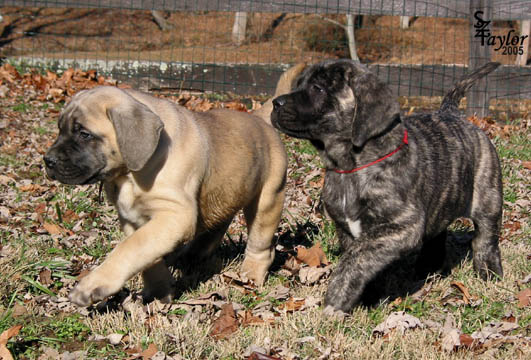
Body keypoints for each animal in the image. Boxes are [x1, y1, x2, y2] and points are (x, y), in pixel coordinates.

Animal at [272, 60, 504, 314]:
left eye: (317, 88)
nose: (275, 103)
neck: (351, 167)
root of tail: (451, 113)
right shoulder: (346, 230)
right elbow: (362, 261)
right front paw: (369, 298)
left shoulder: (403, 225)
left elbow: (354, 258)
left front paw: (336, 299)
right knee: (437, 232)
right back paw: (428, 269)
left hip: (488, 199)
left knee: (485, 239)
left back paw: (489, 274)